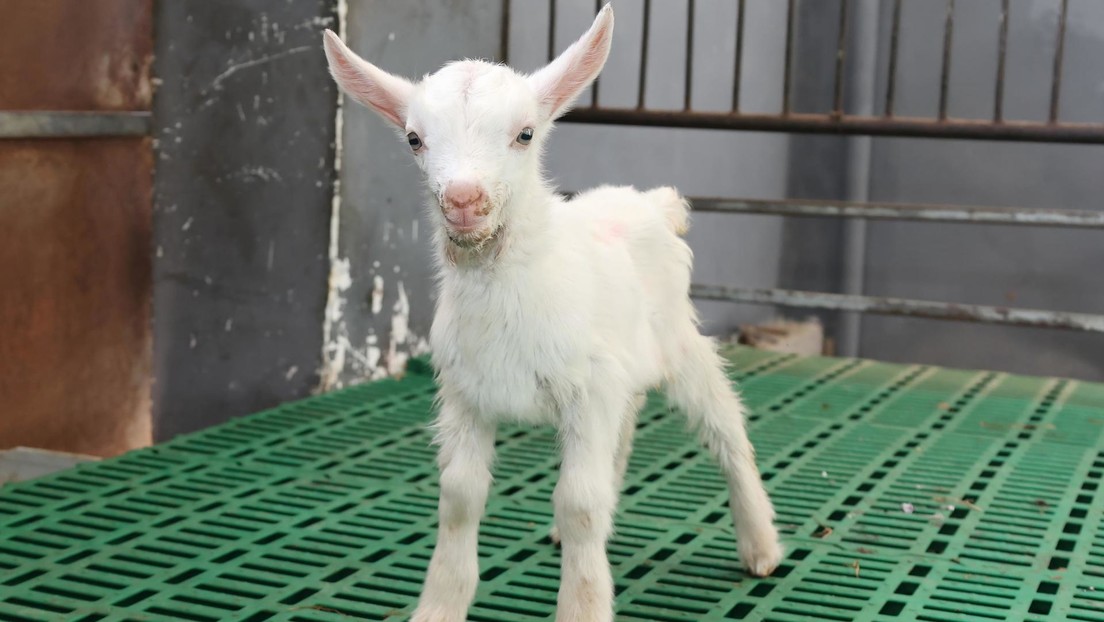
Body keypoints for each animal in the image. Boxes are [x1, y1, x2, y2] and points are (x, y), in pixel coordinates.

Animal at [323, 6, 781, 621]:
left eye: (525, 133)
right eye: (415, 139)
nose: (463, 200)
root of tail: (651, 202)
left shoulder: (587, 391)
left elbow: (579, 502)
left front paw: (583, 604)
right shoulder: (466, 395)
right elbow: (460, 496)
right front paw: (440, 605)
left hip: (679, 342)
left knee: (726, 430)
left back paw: (761, 545)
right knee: (626, 428)